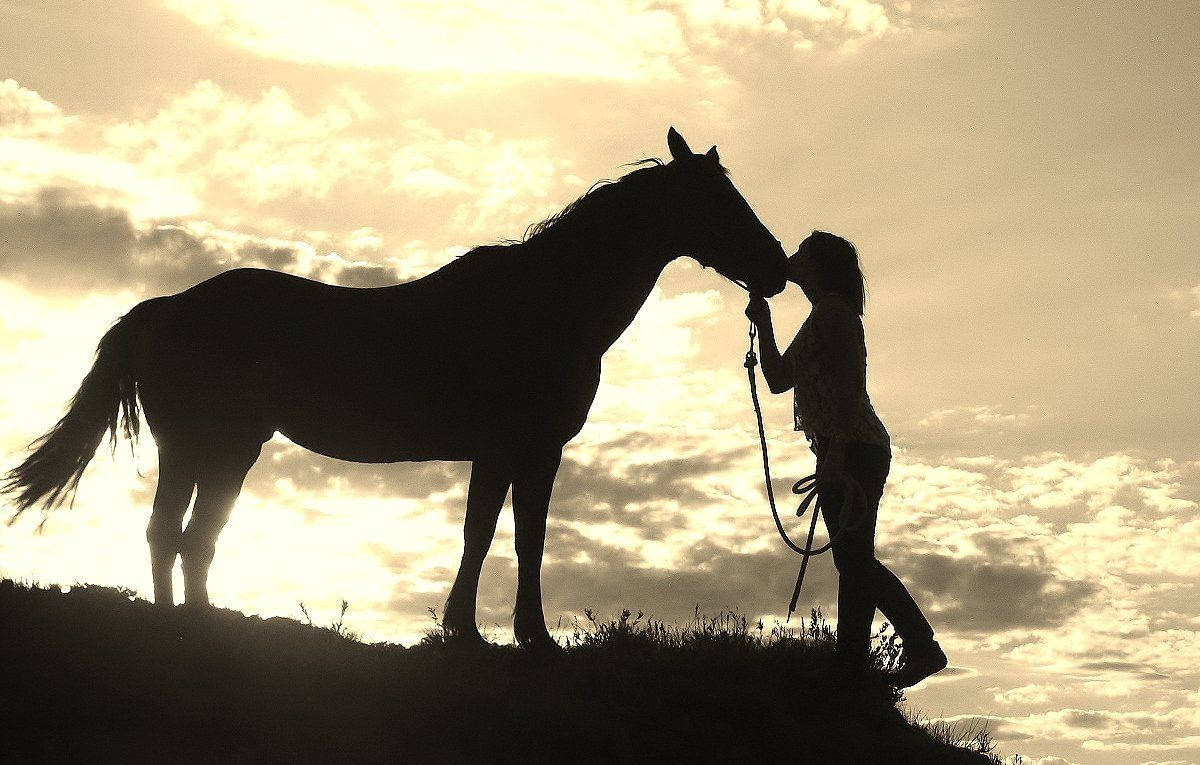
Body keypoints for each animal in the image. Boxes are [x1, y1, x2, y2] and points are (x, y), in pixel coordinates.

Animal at [7, 128, 787, 652]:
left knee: (175, 534)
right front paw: (478, 634)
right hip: (218, 447)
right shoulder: (511, 449)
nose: (777, 268)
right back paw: (195, 627)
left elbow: (519, 537)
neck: (547, 306)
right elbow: (490, 535)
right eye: (718, 200)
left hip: (205, 448)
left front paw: (518, 636)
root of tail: (168, 306)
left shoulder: (531, 454)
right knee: (186, 535)